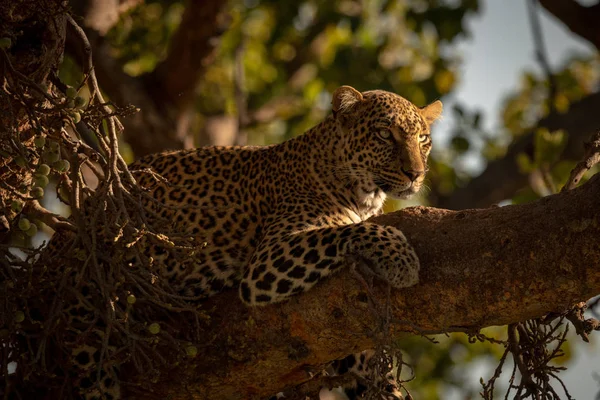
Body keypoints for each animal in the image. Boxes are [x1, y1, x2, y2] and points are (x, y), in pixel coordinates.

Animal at [45, 83, 440, 396]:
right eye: (385, 135)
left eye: (423, 139)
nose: (416, 174)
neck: (363, 195)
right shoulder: (268, 262)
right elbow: (344, 230)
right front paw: (400, 257)